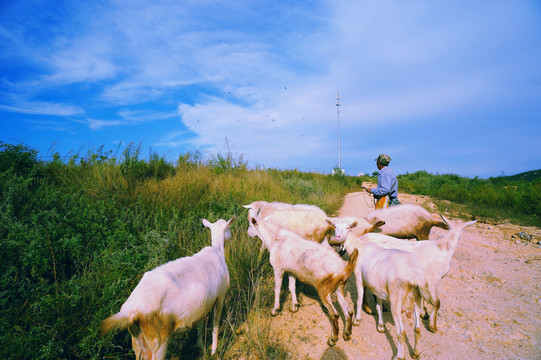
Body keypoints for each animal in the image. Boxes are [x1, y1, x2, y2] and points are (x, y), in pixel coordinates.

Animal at [100, 217, 234, 360]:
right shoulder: (220, 295)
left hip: (137, 340)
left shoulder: (203, 304)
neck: (218, 251)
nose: (231, 235)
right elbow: (215, 326)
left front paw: (199, 346)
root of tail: (130, 310)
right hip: (158, 339)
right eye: (229, 228)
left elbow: (200, 324)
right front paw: (214, 351)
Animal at [246, 210, 358, 348]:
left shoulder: (278, 269)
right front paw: (294, 306)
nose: (248, 233)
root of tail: (344, 268)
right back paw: (347, 333)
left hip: (324, 291)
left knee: (335, 314)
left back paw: (332, 339)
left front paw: (275, 310)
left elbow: (277, 289)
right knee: (348, 311)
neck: (275, 240)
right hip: (339, 288)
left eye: (250, 225)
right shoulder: (292, 271)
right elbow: (291, 287)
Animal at [330, 222, 438, 360]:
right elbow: (379, 305)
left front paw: (357, 320)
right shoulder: (377, 285)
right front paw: (381, 326)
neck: (360, 246)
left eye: (348, 227)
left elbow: (359, 298)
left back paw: (399, 356)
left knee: (401, 332)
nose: (338, 236)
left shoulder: (359, 276)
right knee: (417, 330)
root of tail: (414, 275)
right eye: (335, 227)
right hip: (417, 298)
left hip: (396, 300)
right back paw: (416, 353)